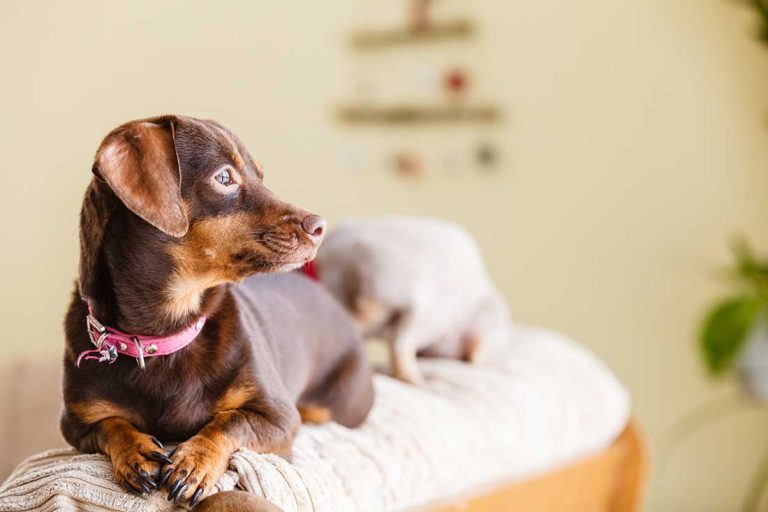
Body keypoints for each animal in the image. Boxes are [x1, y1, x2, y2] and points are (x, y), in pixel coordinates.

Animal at [60, 117, 372, 508]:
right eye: (224, 178)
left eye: (260, 175)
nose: (321, 227)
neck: (164, 335)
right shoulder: (76, 425)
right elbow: (111, 424)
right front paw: (136, 452)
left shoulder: (279, 418)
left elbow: (229, 422)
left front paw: (194, 461)